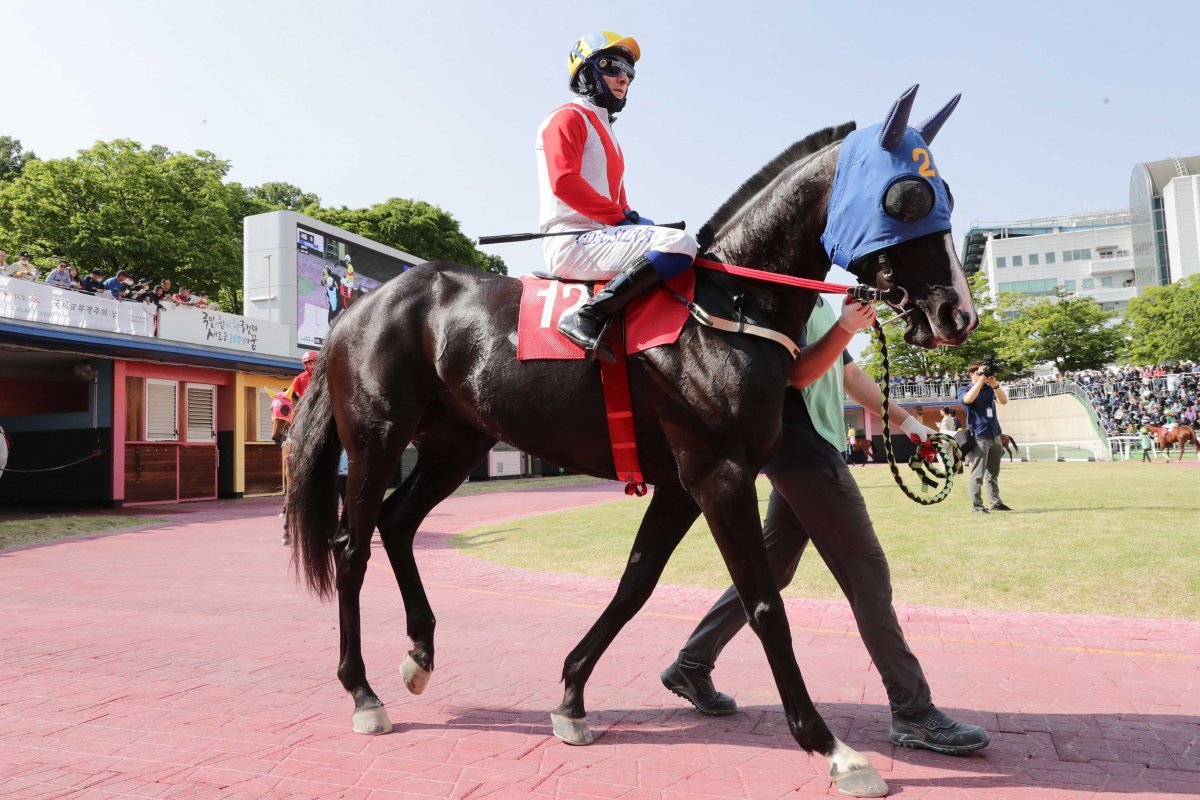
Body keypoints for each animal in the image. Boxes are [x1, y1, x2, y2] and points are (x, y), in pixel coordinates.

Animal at [288, 84, 974, 796]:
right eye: (908, 197)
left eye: (943, 192)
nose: (958, 313)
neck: (729, 305)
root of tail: (360, 307)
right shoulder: (718, 474)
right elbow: (763, 605)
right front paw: (831, 747)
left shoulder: (680, 484)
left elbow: (634, 586)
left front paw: (570, 698)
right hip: (377, 439)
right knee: (351, 547)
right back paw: (363, 692)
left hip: (455, 444)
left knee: (397, 524)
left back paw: (419, 654)